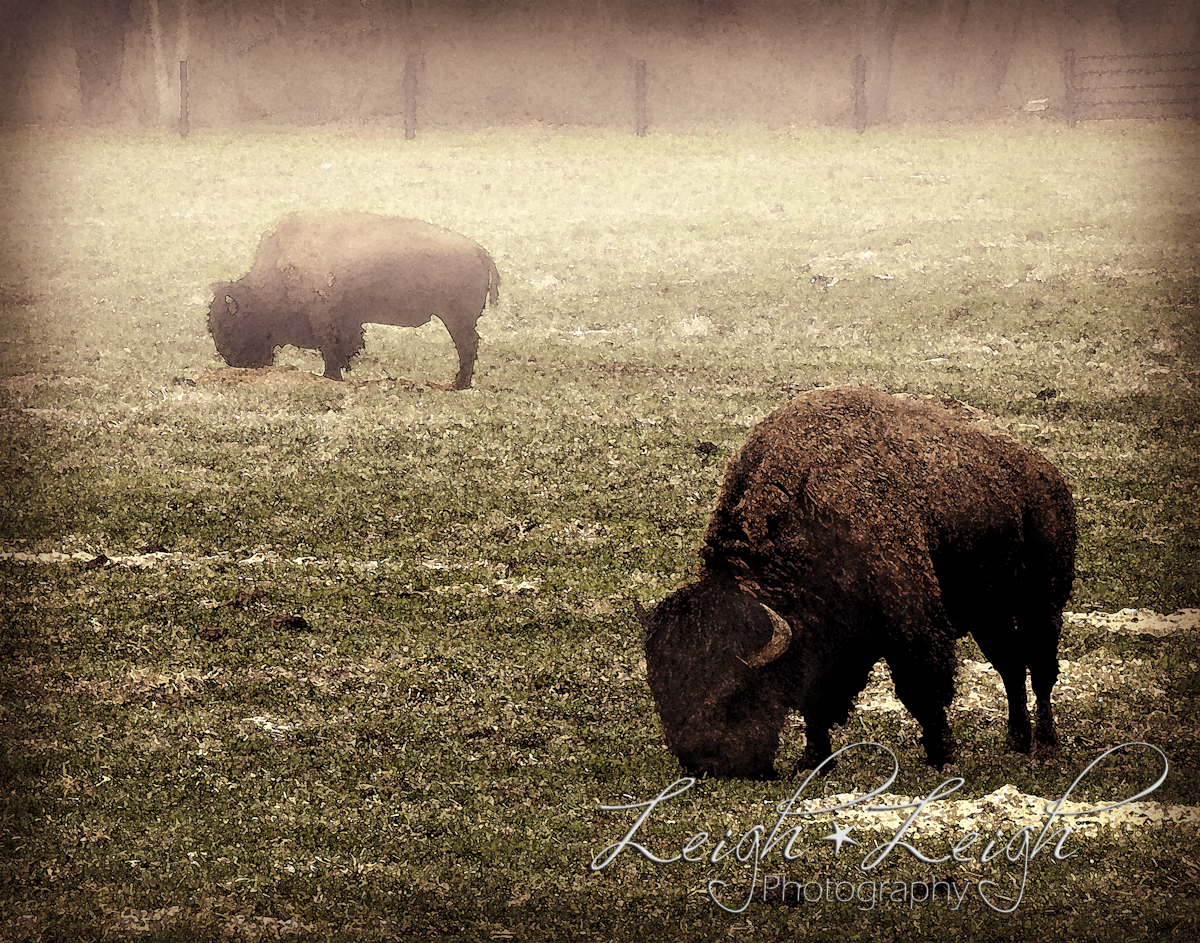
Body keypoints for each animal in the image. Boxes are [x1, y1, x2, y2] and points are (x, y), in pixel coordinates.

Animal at [208, 211, 499, 388]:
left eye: (230, 325)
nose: (233, 361)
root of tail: (480, 251)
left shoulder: (325, 319)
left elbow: (330, 349)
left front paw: (330, 377)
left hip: (456, 319)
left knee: (467, 346)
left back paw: (458, 384)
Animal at [638, 386, 1080, 777]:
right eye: (661, 693)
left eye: (734, 693)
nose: (704, 766)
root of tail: (1047, 474)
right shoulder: (827, 635)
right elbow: (817, 700)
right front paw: (813, 761)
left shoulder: (911, 621)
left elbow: (923, 689)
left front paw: (943, 758)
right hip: (988, 612)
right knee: (1010, 665)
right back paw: (1017, 741)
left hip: (1042, 601)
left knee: (1040, 668)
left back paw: (1045, 746)